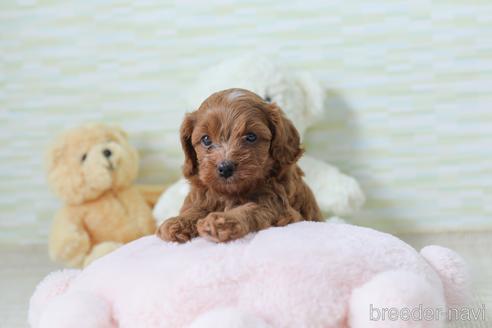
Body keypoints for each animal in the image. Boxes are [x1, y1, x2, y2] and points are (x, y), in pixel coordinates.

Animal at [158, 88, 322, 242]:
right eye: (206, 140)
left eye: (251, 137)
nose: (225, 168)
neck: (231, 193)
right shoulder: (203, 195)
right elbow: (197, 208)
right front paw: (178, 221)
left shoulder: (283, 210)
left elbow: (253, 208)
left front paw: (222, 221)